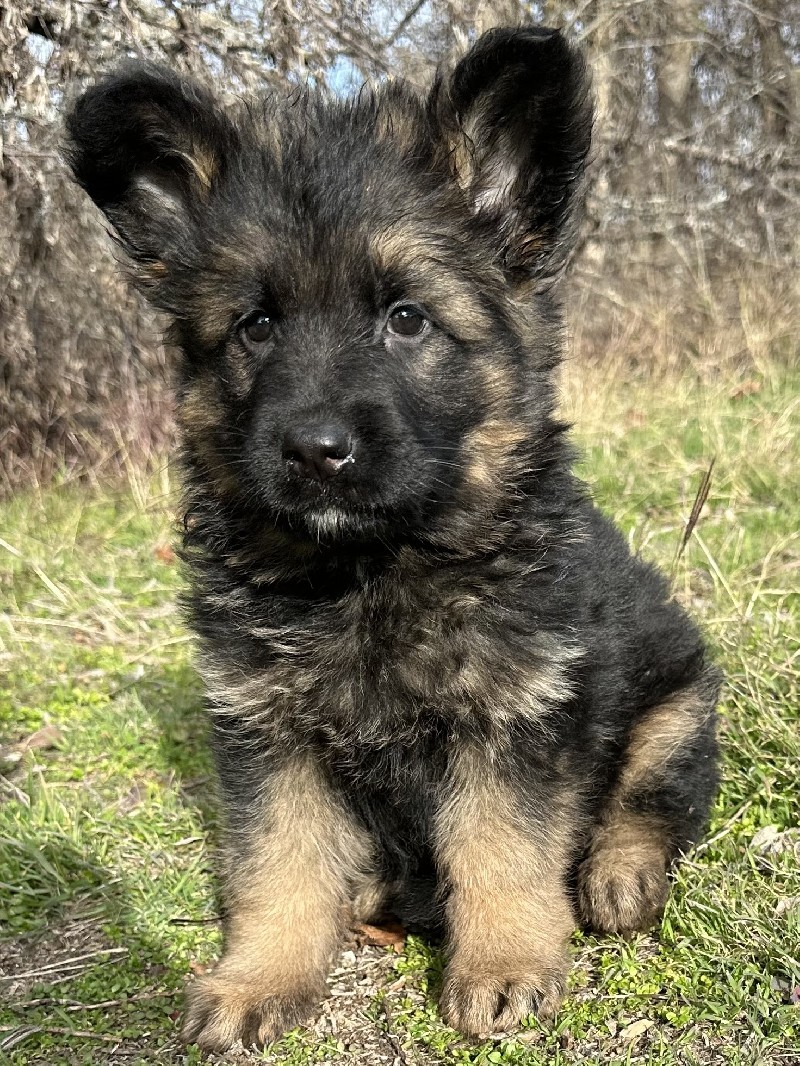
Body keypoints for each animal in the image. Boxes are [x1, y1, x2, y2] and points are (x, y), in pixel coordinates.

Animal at [65, 25, 725, 1048]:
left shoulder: (515, 718)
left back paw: (619, 871)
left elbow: (502, 846)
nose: (314, 450)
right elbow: (278, 862)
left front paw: (504, 964)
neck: (372, 568)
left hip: (679, 698)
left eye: (406, 317)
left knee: (655, 795)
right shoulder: (267, 731)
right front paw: (262, 976)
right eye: (256, 326)